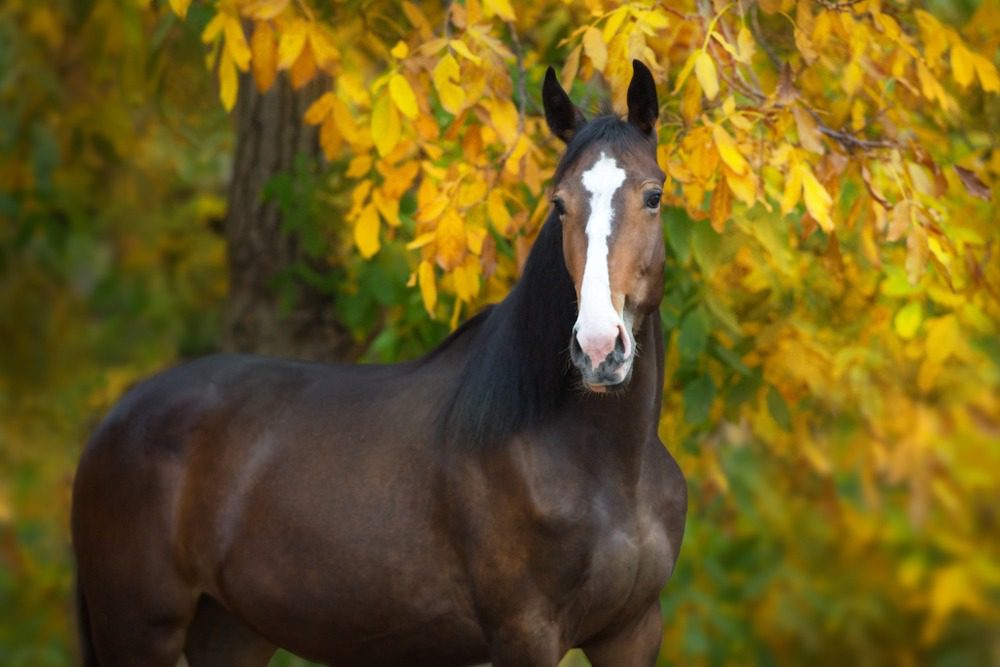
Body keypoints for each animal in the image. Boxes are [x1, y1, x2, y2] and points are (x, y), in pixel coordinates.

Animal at [71, 59, 687, 667]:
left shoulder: (632, 632)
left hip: (230, 630)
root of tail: (115, 420)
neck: (604, 467)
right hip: (139, 629)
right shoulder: (524, 633)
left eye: (653, 196)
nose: (599, 348)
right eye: (559, 205)